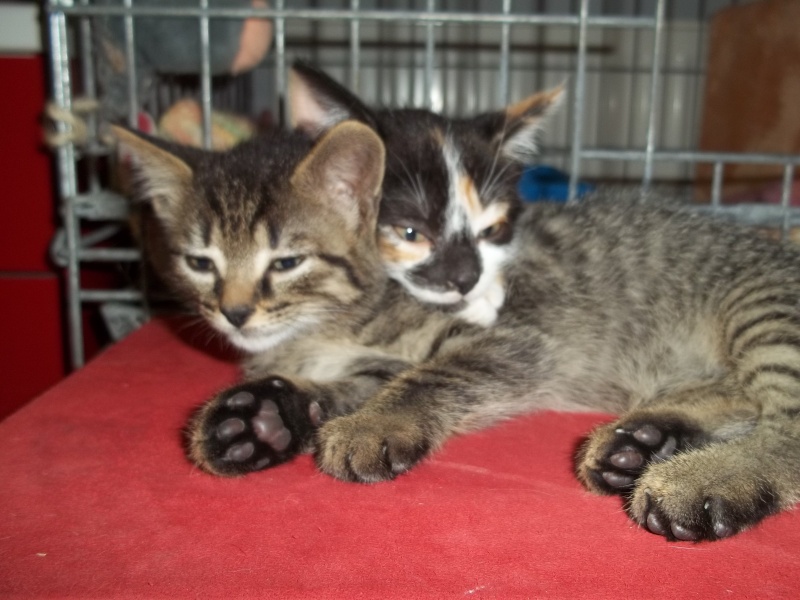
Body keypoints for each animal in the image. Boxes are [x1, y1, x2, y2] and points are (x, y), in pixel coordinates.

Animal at [114, 122, 800, 544]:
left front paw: (374, 424)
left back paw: (705, 480)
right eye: (199, 262)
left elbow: (431, 376)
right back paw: (648, 440)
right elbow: (346, 384)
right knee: (737, 397)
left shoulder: (514, 337)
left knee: (784, 426)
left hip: (765, 309)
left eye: (285, 261)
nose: (232, 312)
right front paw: (262, 418)